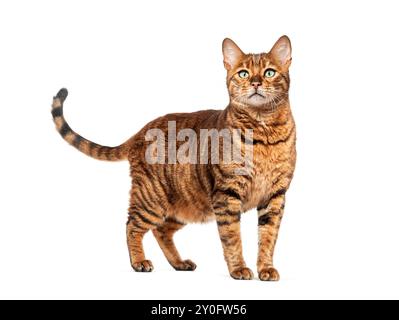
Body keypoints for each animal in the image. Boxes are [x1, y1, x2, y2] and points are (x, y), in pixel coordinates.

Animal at [51, 35, 296, 280]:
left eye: (269, 72)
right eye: (243, 73)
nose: (255, 83)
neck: (263, 129)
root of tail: (140, 132)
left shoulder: (275, 196)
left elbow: (268, 238)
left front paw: (266, 268)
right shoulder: (227, 193)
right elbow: (232, 237)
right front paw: (238, 269)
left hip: (186, 206)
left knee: (161, 231)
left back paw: (179, 263)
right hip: (151, 199)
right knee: (132, 225)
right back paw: (138, 261)